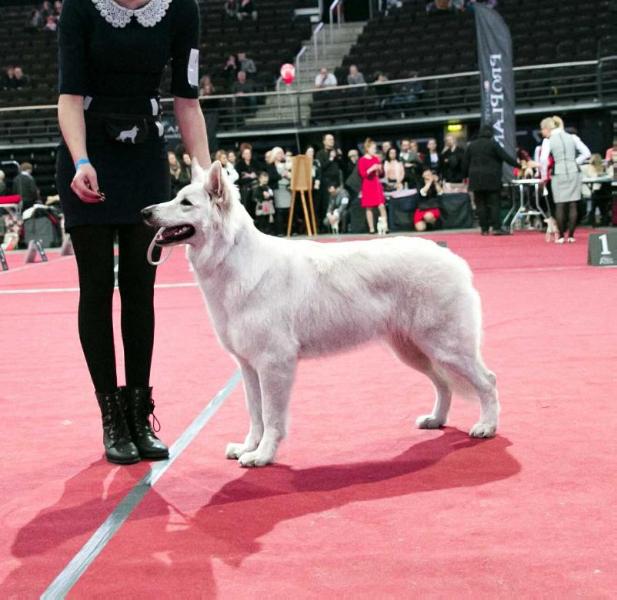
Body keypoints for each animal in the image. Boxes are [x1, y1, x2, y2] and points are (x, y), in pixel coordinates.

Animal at [142, 161, 498, 468]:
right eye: (175, 196)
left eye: (185, 203)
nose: (144, 212)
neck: (233, 260)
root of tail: (453, 258)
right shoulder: (248, 367)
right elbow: (255, 414)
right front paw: (248, 447)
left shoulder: (274, 364)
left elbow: (271, 417)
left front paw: (262, 455)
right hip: (415, 351)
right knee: (444, 384)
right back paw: (436, 419)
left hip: (447, 347)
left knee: (487, 381)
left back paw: (487, 426)